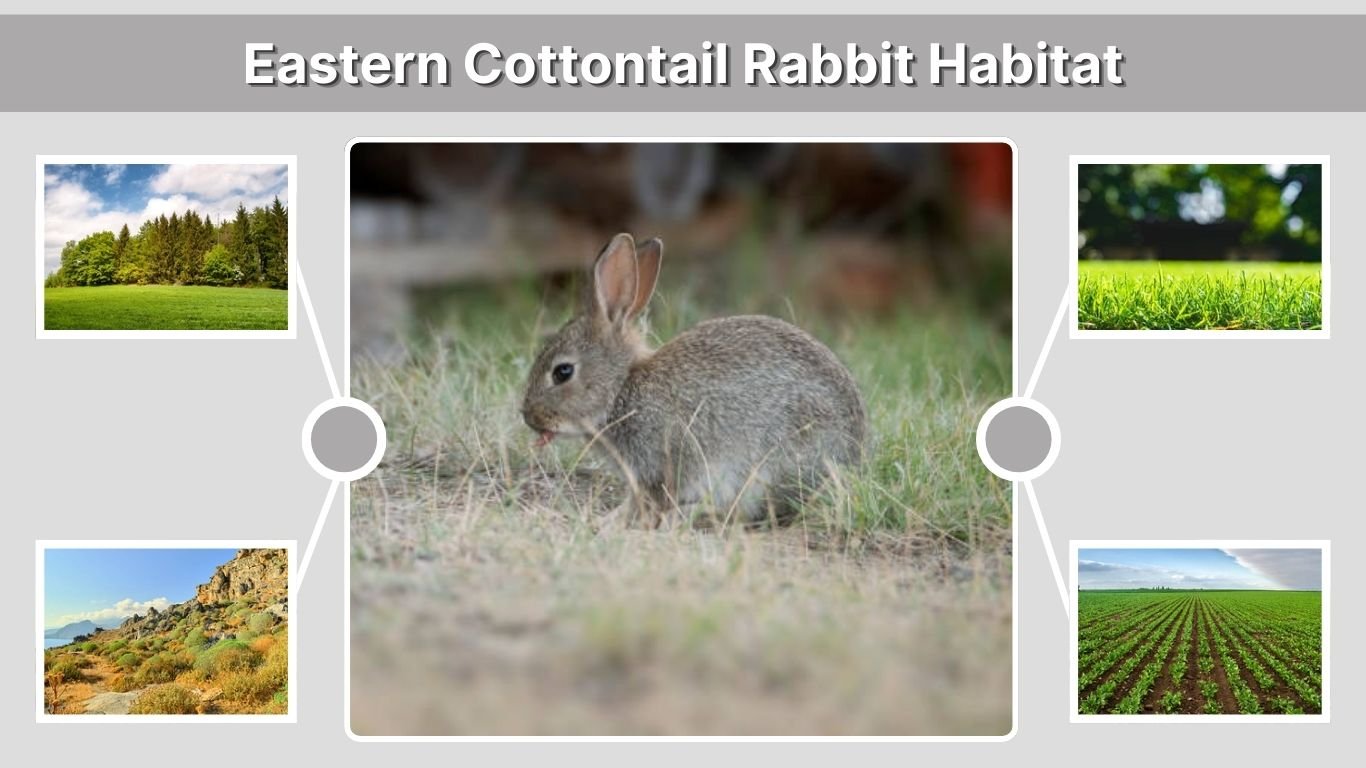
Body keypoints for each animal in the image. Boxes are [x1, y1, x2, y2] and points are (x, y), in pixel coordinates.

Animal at [521, 233, 866, 526]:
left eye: (563, 372)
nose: (528, 417)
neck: (621, 389)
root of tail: (855, 453)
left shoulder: (661, 466)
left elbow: (647, 501)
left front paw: (613, 525)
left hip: (770, 464)